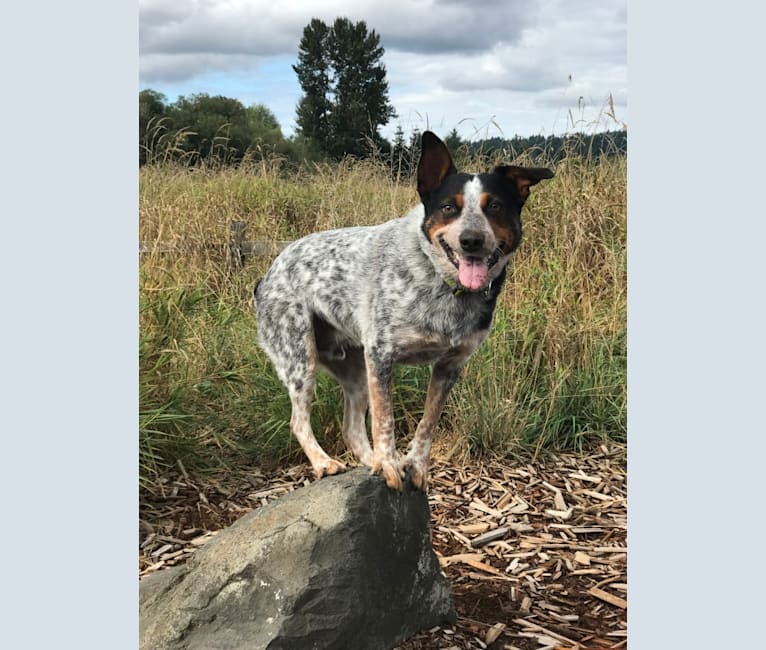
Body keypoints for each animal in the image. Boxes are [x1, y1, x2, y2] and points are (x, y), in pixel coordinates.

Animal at [255, 129, 556, 488]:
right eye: (448, 207)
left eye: (495, 206)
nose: (471, 240)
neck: (443, 285)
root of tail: (268, 274)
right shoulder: (381, 355)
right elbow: (385, 419)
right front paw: (387, 463)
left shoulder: (450, 366)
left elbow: (428, 422)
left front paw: (414, 465)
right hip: (301, 360)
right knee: (299, 421)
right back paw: (325, 462)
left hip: (355, 371)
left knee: (351, 427)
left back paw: (367, 461)